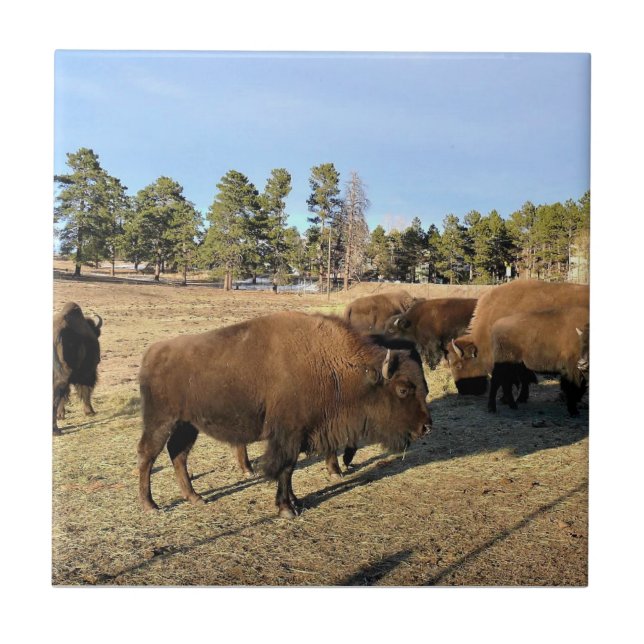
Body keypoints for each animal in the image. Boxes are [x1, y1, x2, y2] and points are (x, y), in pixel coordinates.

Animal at [137, 312, 431, 518]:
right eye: (403, 389)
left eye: (425, 388)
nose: (426, 427)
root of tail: (153, 352)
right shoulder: (289, 435)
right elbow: (285, 468)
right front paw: (286, 508)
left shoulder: (301, 434)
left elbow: (288, 471)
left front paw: (295, 501)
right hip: (161, 420)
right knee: (148, 454)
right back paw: (150, 505)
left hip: (188, 425)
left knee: (178, 454)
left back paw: (195, 497)